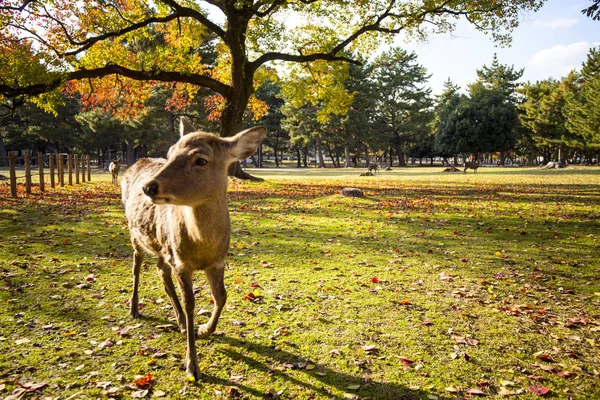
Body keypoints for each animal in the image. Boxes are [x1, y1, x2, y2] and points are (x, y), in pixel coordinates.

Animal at [122, 117, 268, 380]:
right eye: (169, 153)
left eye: (201, 159)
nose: (148, 187)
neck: (203, 247)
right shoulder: (182, 264)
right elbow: (190, 303)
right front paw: (192, 365)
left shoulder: (218, 261)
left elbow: (221, 296)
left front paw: (203, 330)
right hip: (134, 232)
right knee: (137, 265)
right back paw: (134, 308)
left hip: (162, 245)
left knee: (160, 271)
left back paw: (178, 321)